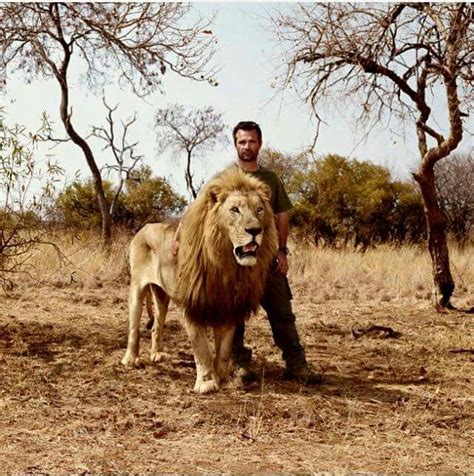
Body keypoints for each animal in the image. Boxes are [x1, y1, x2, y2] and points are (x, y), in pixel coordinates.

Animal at [121, 167, 278, 394]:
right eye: (235, 210)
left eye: (259, 210)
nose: (255, 231)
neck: (226, 266)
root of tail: (144, 227)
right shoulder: (193, 304)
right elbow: (202, 348)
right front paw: (206, 383)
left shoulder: (227, 307)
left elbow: (224, 350)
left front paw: (223, 380)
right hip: (137, 287)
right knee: (134, 325)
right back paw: (131, 359)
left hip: (162, 295)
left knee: (157, 325)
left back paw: (157, 354)